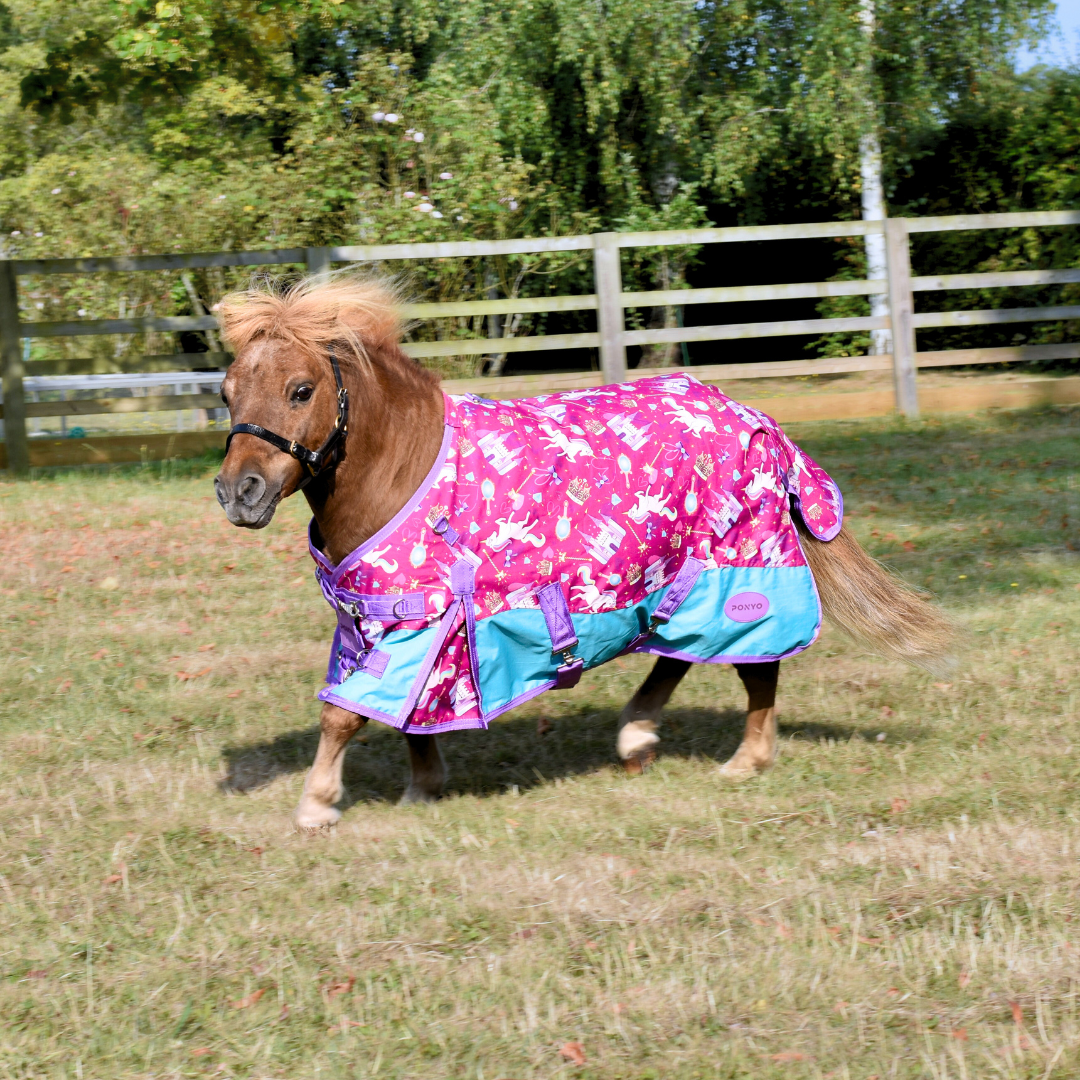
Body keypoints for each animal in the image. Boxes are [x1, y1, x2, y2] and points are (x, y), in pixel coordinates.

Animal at [213, 276, 953, 827]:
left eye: (301, 390)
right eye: (227, 391)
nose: (238, 492)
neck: (401, 467)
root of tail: (756, 420)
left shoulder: (416, 619)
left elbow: (343, 713)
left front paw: (317, 804)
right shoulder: (375, 621)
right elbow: (402, 713)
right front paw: (423, 787)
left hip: (741, 567)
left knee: (756, 662)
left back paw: (745, 759)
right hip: (674, 581)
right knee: (678, 654)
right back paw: (638, 735)